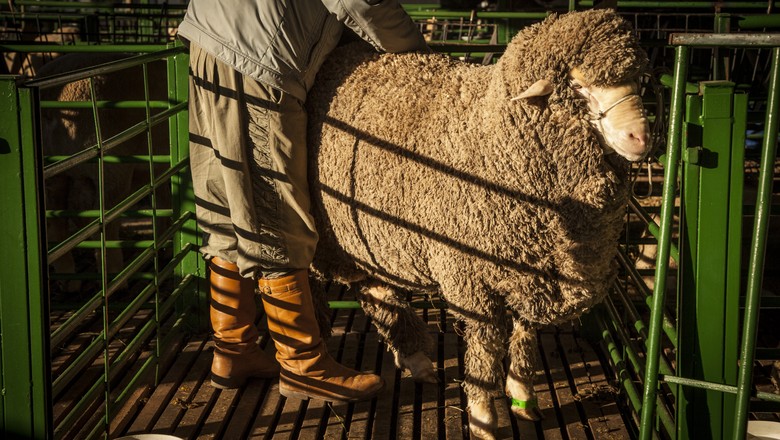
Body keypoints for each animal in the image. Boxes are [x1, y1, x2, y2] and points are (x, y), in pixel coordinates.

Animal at [304, 8, 652, 438]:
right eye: (578, 85)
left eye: (637, 80)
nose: (641, 137)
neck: (491, 138)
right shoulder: (471, 274)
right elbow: (485, 347)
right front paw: (484, 416)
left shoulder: (533, 267)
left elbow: (526, 333)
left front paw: (522, 396)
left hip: (365, 234)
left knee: (376, 290)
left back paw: (416, 359)